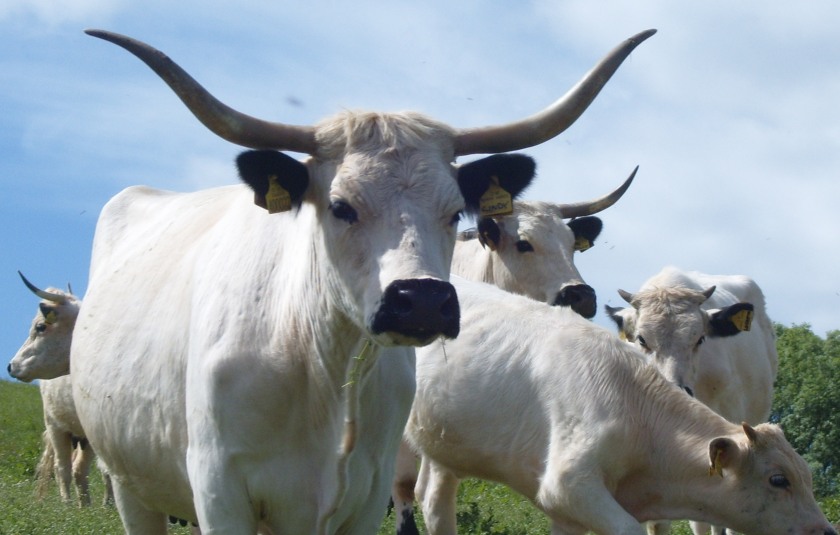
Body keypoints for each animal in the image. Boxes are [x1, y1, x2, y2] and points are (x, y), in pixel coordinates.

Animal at [9, 273, 113, 507]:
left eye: (40, 327)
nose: (11, 365)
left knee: (78, 469)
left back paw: (86, 507)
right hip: (55, 425)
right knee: (62, 467)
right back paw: (68, 506)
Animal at [69, 28, 654, 534]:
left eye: (452, 212)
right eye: (340, 206)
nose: (422, 300)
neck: (321, 358)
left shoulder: (368, 492)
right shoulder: (221, 492)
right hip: (131, 484)